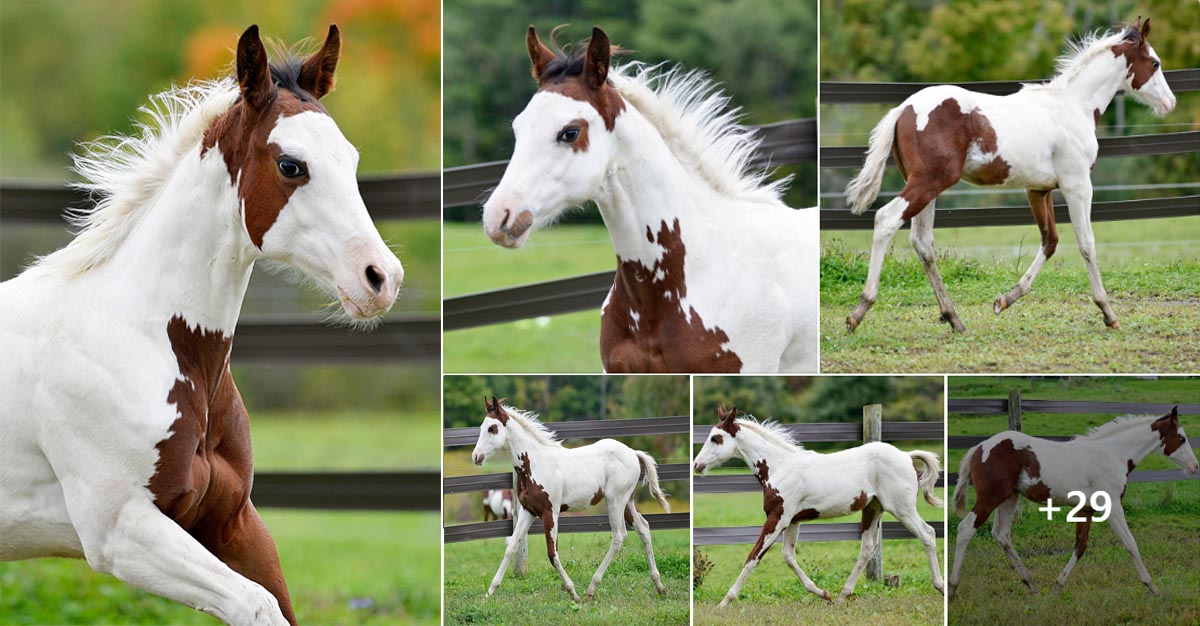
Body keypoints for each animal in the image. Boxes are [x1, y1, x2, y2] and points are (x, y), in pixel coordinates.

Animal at [0, 24, 403, 623]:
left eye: (350, 159)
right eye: (291, 165)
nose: (381, 277)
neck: (140, 338)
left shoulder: (232, 519)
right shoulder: (121, 529)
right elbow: (257, 606)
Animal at [470, 398, 676, 597]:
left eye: (492, 428)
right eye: (481, 427)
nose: (476, 456)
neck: (536, 464)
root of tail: (633, 453)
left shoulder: (550, 512)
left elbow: (552, 554)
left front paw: (572, 592)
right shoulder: (529, 511)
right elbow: (511, 546)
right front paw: (489, 592)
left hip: (615, 501)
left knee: (619, 536)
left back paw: (591, 589)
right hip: (627, 502)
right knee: (643, 528)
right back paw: (659, 585)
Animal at [696, 405, 945, 604]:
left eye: (716, 438)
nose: (697, 465)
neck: (780, 467)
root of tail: (906, 456)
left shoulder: (778, 518)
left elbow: (753, 556)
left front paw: (725, 601)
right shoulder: (792, 521)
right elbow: (788, 556)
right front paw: (823, 593)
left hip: (902, 509)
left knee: (928, 534)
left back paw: (941, 587)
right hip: (873, 509)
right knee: (868, 547)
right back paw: (843, 595)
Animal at [849, 18, 1176, 330]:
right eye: (1155, 63)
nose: (1170, 103)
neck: (1072, 107)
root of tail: (903, 109)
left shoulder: (1038, 190)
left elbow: (1050, 241)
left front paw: (1004, 300)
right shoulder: (1078, 185)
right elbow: (1086, 244)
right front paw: (1108, 313)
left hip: (927, 186)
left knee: (923, 242)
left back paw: (953, 318)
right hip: (929, 181)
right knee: (887, 220)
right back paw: (860, 310)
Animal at [950, 407, 1195, 597]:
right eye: (1182, 438)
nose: (1195, 466)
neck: (1112, 455)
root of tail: (979, 448)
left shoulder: (1086, 509)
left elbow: (1080, 546)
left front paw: (1057, 587)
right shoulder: (1112, 507)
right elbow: (1130, 543)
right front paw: (1153, 587)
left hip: (1010, 498)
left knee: (1001, 534)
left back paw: (1032, 585)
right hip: (991, 497)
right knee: (965, 529)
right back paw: (951, 588)